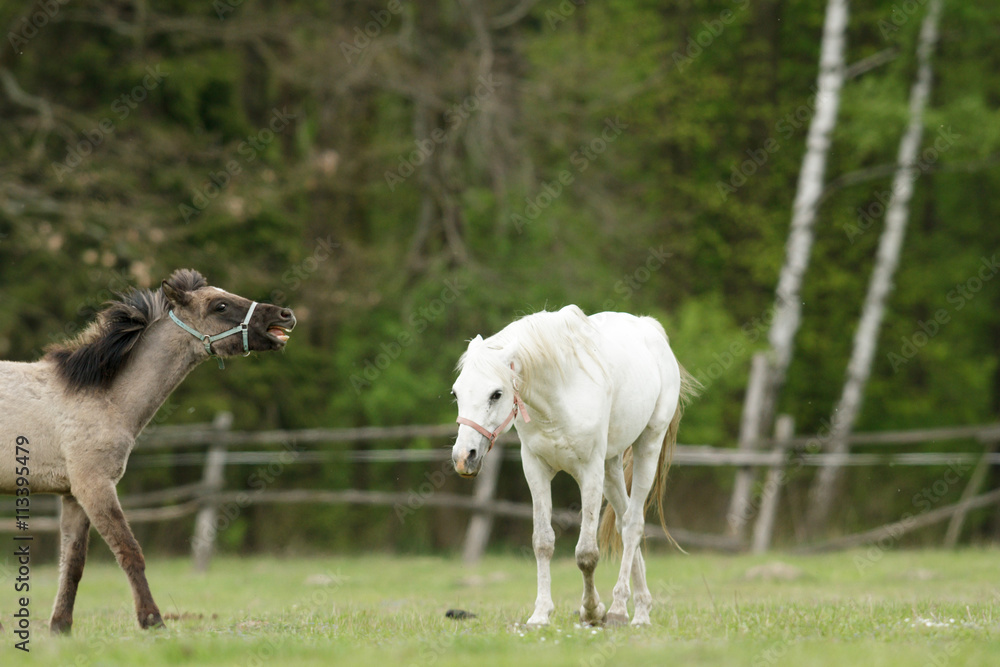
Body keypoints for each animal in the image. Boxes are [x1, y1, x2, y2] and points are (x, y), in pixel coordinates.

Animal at [0, 269, 295, 634]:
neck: (101, 395)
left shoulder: (73, 495)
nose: (285, 315)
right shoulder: (95, 485)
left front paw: (60, 628)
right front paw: (152, 620)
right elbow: (130, 551)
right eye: (220, 305)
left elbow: (73, 563)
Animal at [450, 305, 698, 627]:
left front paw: (592, 611)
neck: (559, 396)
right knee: (623, 522)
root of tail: (651, 329)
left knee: (633, 524)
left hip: (648, 447)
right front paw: (541, 614)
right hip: (611, 467)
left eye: (496, 394)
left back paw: (620, 610)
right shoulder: (536, 469)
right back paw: (641, 607)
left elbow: (586, 553)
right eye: (456, 393)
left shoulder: (589, 472)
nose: (463, 457)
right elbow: (543, 542)